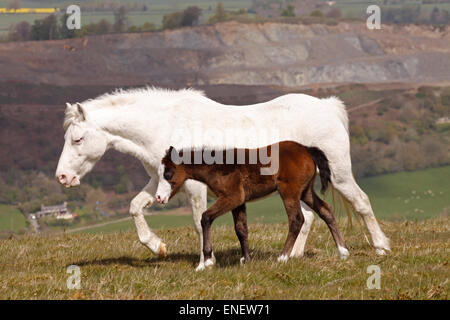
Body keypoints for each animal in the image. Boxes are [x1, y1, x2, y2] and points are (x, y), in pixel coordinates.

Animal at [155, 141, 348, 266]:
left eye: (168, 174)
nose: (158, 198)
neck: (216, 166)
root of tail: (307, 150)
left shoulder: (232, 197)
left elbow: (206, 217)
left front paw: (207, 261)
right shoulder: (239, 201)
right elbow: (241, 228)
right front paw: (246, 259)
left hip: (289, 191)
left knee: (297, 219)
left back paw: (283, 257)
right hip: (306, 191)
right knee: (326, 210)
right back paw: (343, 251)